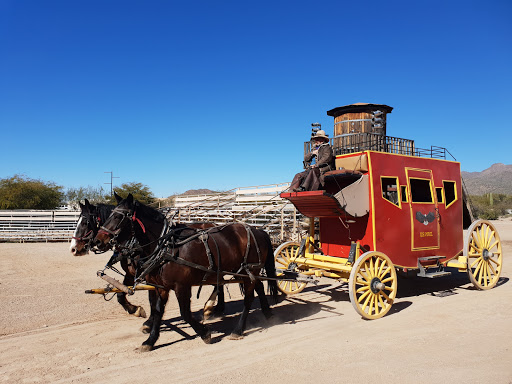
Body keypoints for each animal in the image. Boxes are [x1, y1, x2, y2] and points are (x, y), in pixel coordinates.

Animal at [92, 194, 276, 352]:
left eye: (120, 216)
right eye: (109, 215)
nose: (98, 241)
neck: (166, 246)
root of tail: (258, 230)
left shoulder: (182, 286)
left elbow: (185, 313)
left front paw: (205, 333)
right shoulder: (160, 286)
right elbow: (157, 311)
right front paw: (150, 340)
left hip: (249, 270)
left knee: (248, 299)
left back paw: (237, 329)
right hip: (241, 271)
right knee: (257, 286)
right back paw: (266, 313)